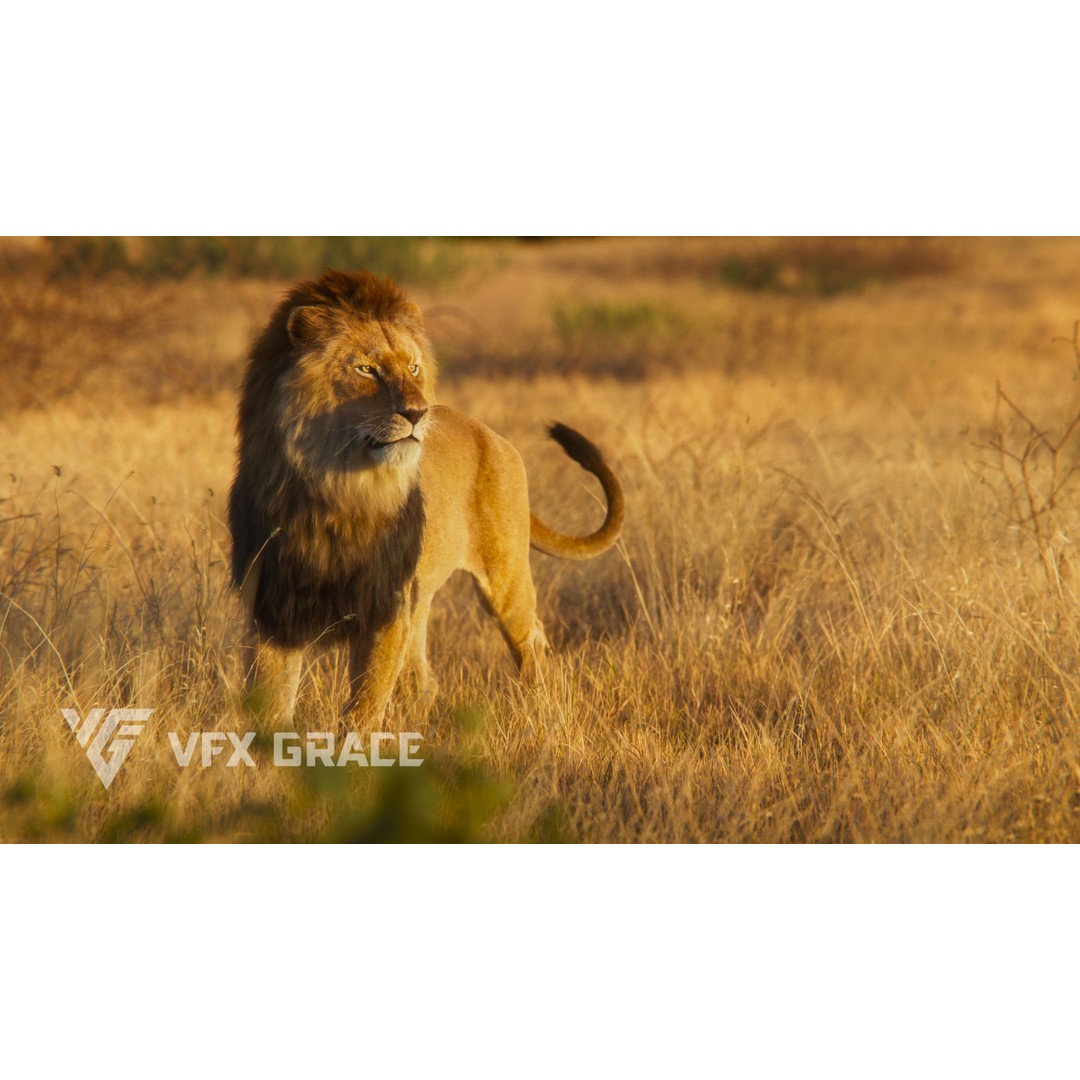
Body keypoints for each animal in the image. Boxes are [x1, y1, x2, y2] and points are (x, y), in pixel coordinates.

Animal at [227, 268, 624, 727]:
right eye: (366, 369)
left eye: (413, 367)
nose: (418, 413)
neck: (335, 492)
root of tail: (493, 435)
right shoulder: (274, 611)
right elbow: (271, 704)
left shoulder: (385, 607)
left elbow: (363, 708)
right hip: (422, 601)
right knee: (426, 678)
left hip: (504, 579)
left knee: (532, 640)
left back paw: (539, 710)